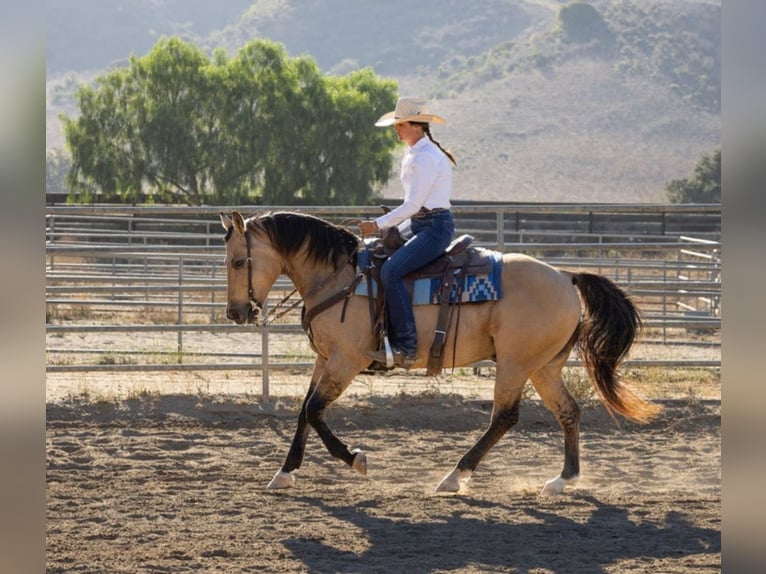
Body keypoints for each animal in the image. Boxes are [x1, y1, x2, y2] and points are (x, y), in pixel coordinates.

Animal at [219, 210, 660, 494]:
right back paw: (563, 479)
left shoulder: (348, 359)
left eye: (239, 261)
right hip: (544, 366)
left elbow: (314, 410)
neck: (339, 278)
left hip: (515, 364)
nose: (237, 313)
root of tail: (566, 277)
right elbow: (304, 411)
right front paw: (284, 473)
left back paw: (455, 476)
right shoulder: (325, 359)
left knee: (505, 416)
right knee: (568, 411)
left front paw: (356, 460)